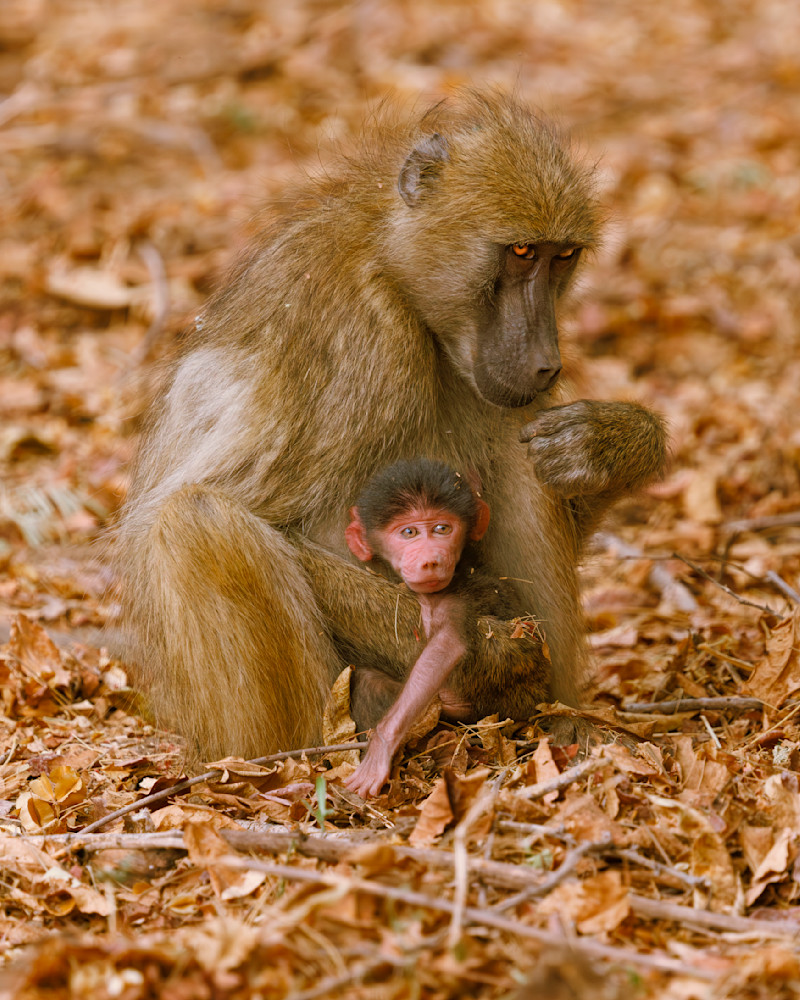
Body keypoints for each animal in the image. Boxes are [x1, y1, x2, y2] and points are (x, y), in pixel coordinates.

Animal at [115, 88, 667, 762]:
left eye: (562, 256)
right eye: (519, 252)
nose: (546, 362)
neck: (396, 270)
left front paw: (611, 446)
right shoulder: (364, 337)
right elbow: (245, 512)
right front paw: (494, 656)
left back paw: (558, 725)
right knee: (196, 520)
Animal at [342, 457, 539, 797]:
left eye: (441, 529)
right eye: (409, 532)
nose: (431, 560)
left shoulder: (455, 600)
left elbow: (446, 648)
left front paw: (382, 745)